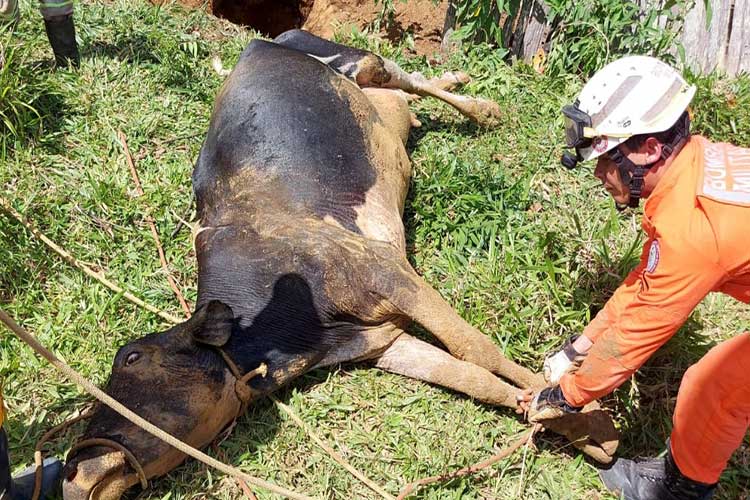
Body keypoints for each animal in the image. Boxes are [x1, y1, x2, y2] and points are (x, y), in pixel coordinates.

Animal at [62, 30, 618, 499]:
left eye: (131, 358)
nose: (73, 472)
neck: (283, 324)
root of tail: (265, 41)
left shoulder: (385, 271)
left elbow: (475, 349)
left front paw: (579, 414)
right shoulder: (379, 343)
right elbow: (471, 377)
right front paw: (585, 430)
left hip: (348, 57)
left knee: (400, 74)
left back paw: (482, 107)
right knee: (406, 96)